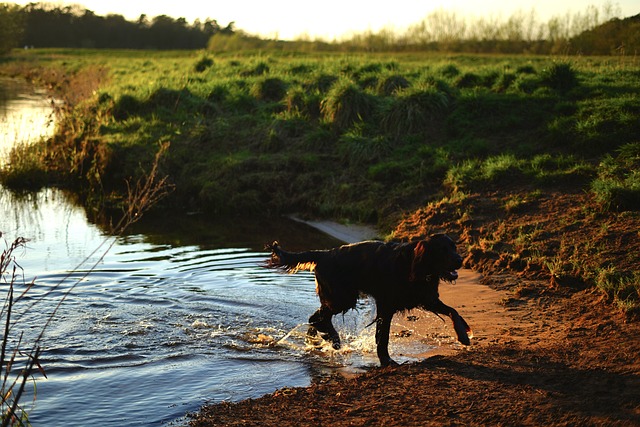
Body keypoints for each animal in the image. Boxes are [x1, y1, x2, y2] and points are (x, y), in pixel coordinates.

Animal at [264, 234, 470, 368]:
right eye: (442, 250)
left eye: (453, 247)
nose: (460, 260)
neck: (414, 264)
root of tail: (324, 253)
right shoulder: (386, 306)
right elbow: (383, 337)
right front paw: (387, 361)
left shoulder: (426, 298)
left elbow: (454, 311)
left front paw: (463, 335)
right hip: (343, 298)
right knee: (318, 317)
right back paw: (333, 339)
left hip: (340, 298)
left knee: (316, 317)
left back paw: (321, 340)